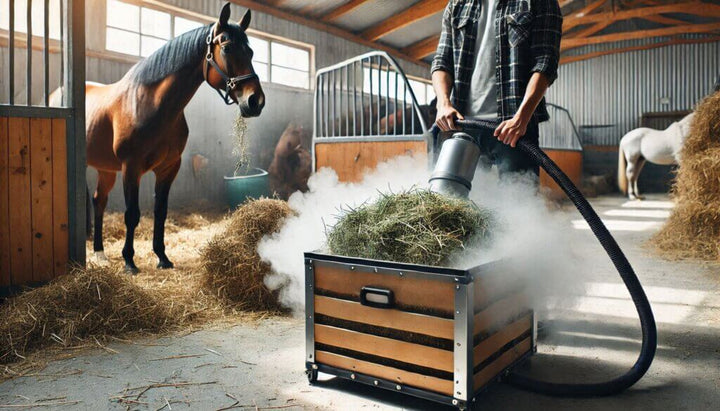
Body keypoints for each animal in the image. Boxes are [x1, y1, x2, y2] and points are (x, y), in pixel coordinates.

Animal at [50, 3, 264, 273]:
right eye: (226, 47)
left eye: (251, 51)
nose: (255, 101)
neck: (151, 104)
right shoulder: (131, 167)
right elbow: (132, 214)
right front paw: (129, 261)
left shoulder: (169, 167)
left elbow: (160, 211)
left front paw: (162, 257)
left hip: (106, 169)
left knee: (99, 201)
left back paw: (100, 253)